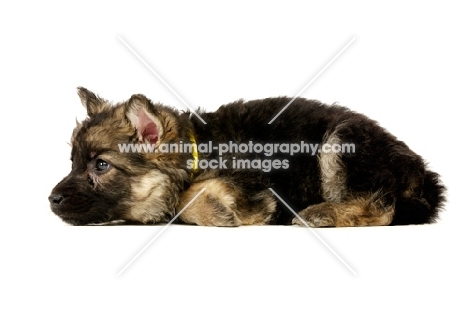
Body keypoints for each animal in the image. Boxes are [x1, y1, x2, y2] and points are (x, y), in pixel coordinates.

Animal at [48, 87, 446, 227]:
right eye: (72, 163)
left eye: (101, 165)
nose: (51, 200)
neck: (199, 149)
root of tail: (423, 173)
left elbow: (187, 198)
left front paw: (214, 207)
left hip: (342, 142)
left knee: (383, 204)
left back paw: (324, 214)